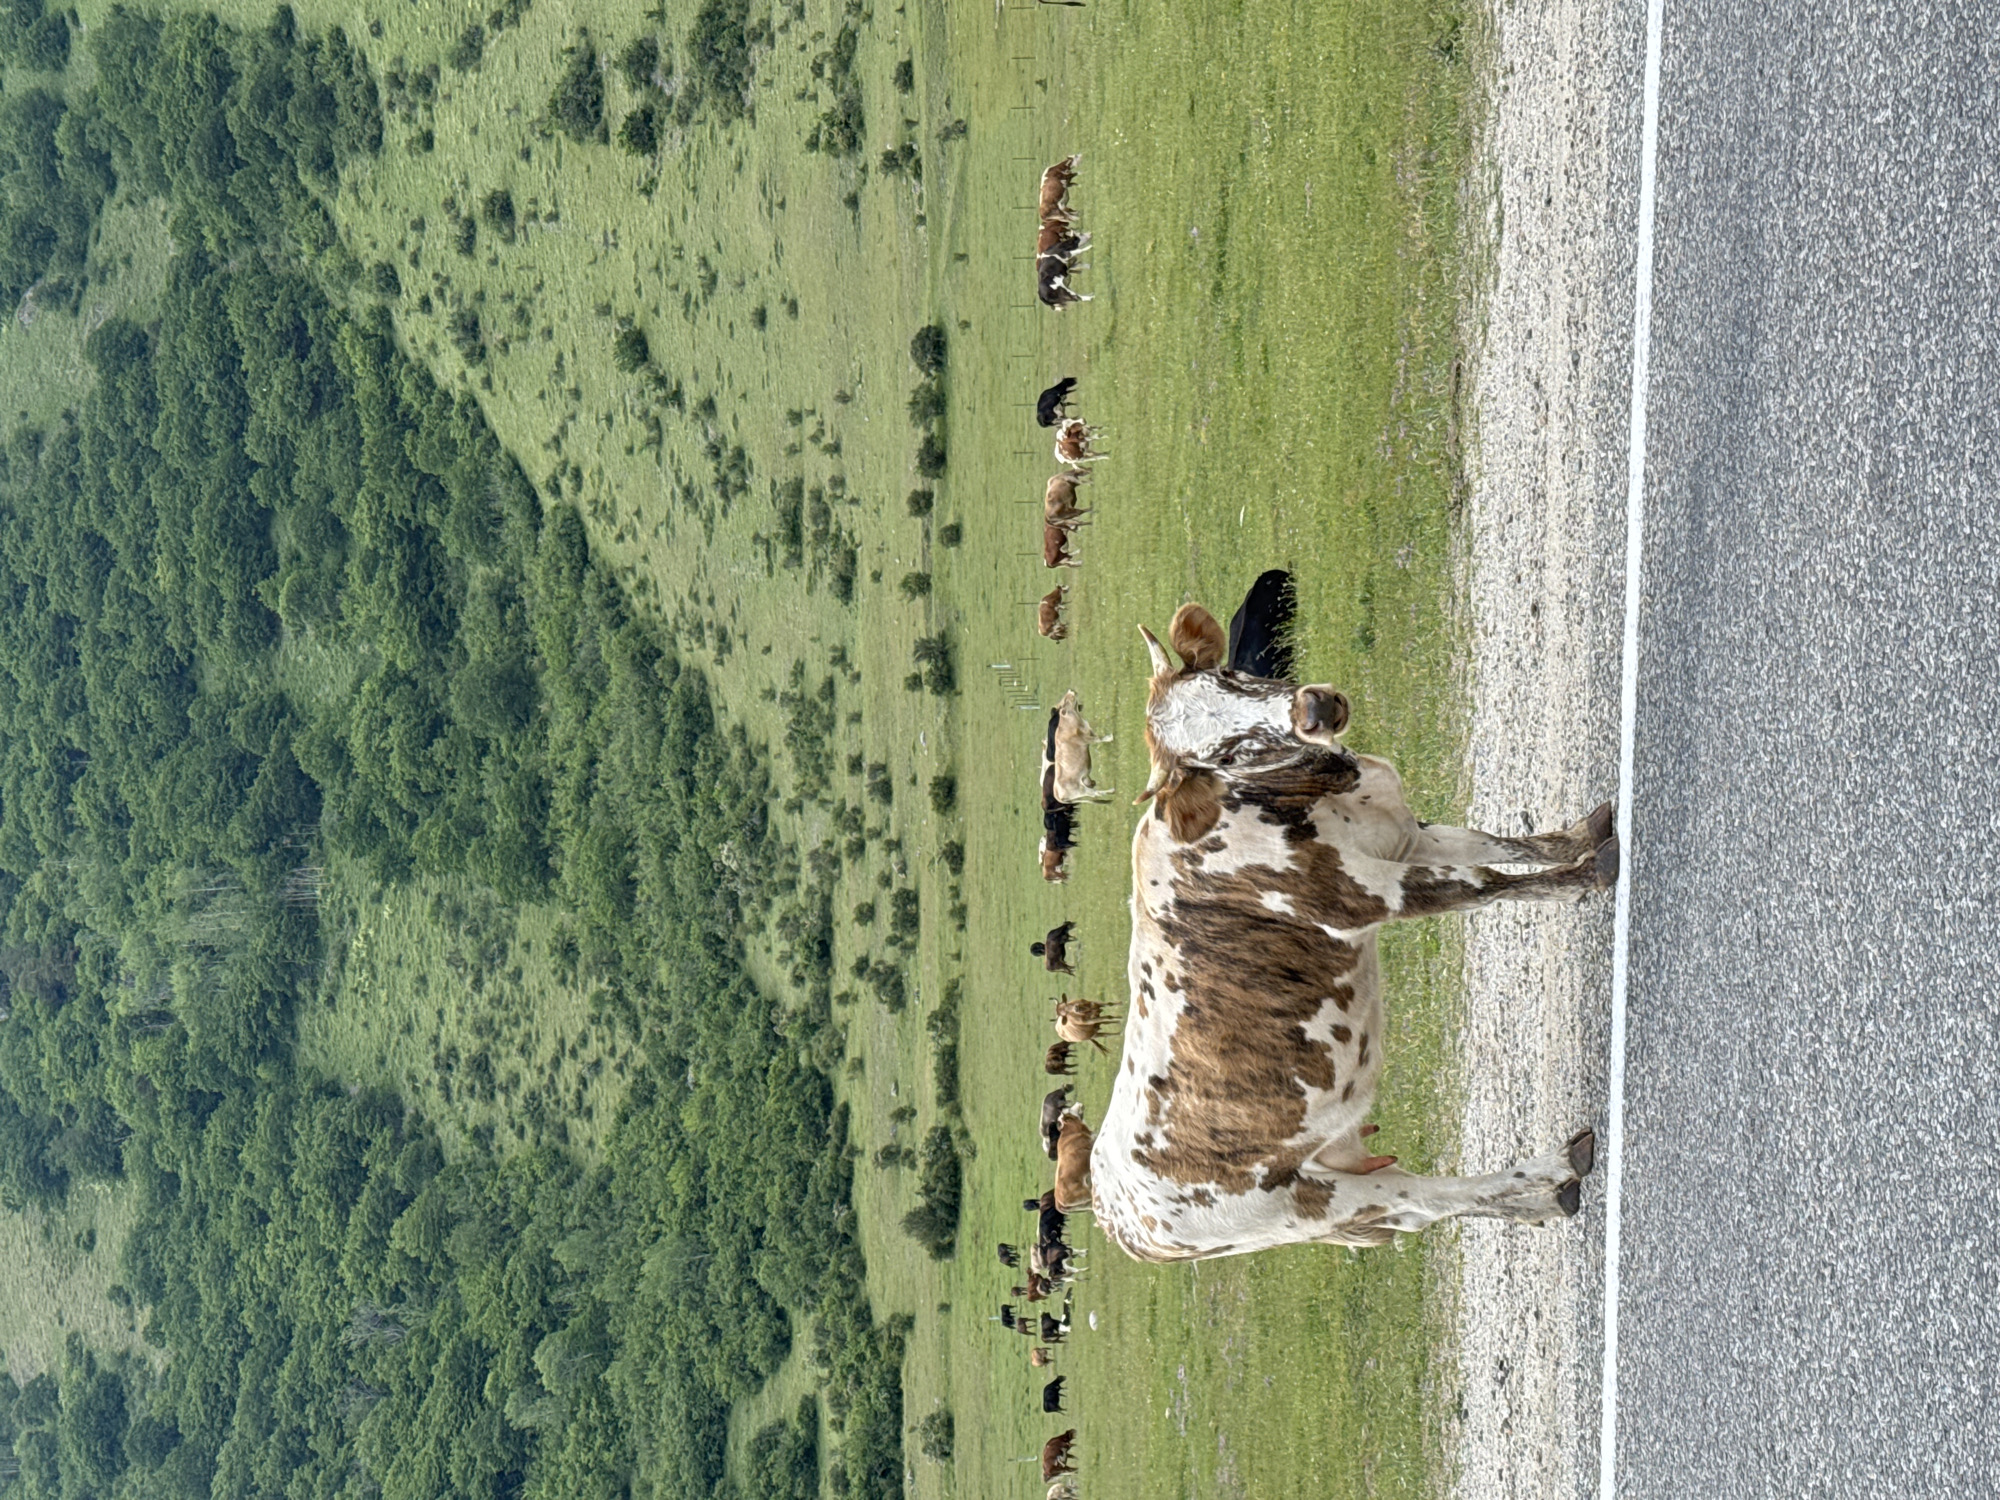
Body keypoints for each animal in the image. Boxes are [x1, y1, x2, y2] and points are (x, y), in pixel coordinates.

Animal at [1088, 601, 1617, 1261]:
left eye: (1231, 677)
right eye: (1229, 754)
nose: (1315, 709)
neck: (1314, 796)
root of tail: (1120, 1219)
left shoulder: (1409, 838)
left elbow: (1501, 846)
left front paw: (1580, 837)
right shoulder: (1371, 893)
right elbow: (1489, 881)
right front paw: (1589, 875)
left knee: (1413, 1210)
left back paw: (1541, 1199)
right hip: (1308, 1204)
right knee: (1426, 1200)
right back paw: (1553, 1174)